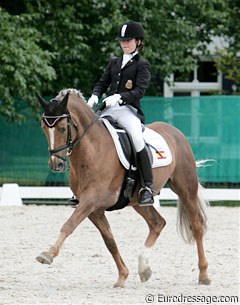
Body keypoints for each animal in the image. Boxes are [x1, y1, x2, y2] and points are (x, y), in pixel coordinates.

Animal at [36, 88, 210, 288]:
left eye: (63, 128)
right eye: (43, 128)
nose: (55, 164)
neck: (93, 149)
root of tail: (176, 132)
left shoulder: (91, 200)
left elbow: (69, 225)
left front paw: (47, 255)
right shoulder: (93, 208)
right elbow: (109, 241)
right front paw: (122, 276)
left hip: (186, 188)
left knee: (196, 226)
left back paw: (204, 275)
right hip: (137, 201)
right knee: (157, 223)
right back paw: (144, 268)